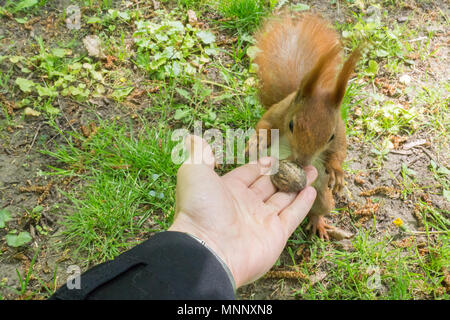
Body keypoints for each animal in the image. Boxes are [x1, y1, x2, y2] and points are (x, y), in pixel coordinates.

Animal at [248, 13, 360, 239]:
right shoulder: (279, 112)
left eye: (330, 136)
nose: (302, 162)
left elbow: (340, 152)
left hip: (323, 197)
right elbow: (264, 124)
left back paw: (319, 223)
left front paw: (337, 172)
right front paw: (258, 141)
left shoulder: (340, 133)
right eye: (291, 124)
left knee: (318, 210)